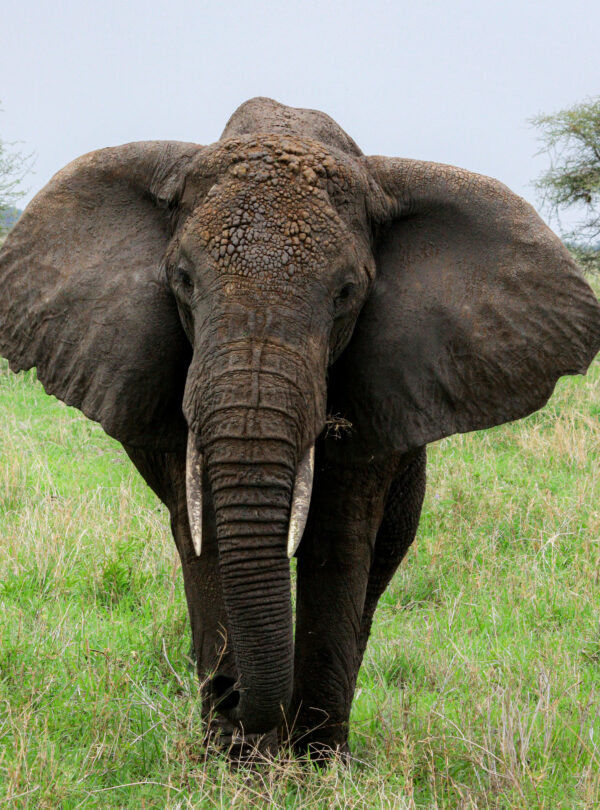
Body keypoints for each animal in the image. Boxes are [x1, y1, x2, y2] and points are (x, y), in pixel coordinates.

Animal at [1, 97, 600, 759]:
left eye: (346, 293)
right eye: (182, 280)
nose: (230, 696)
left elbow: (339, 537)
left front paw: (314, 761)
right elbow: (205, 536)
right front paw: (237, 759)